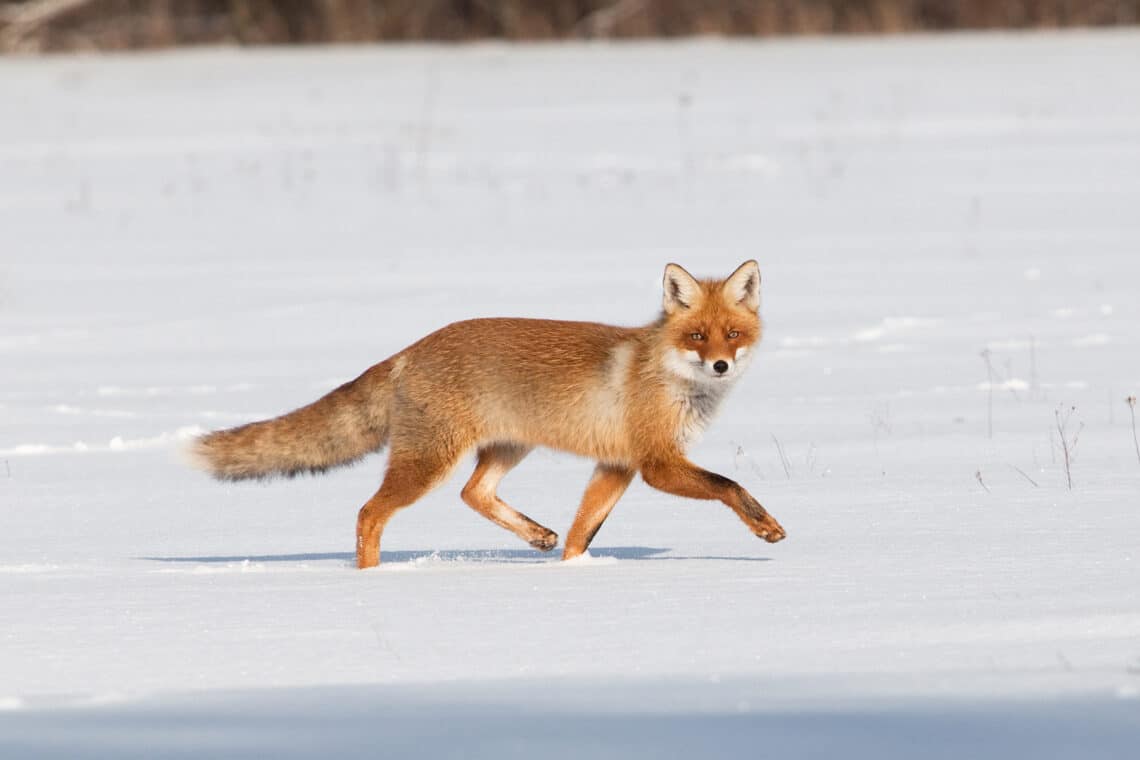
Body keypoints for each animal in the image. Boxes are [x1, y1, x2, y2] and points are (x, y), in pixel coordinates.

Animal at [193, 262, 784, 565]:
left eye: (733, 334)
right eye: (697, 337)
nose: (721, 366)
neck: (669, 376)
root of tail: (409, 349)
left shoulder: (617, 465)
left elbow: (582, 533)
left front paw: (575, 572)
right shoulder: (656, 463)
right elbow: (730, 485)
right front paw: (765, 527)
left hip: (506, 447)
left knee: (472, 494)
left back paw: (536, 536)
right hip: (428, 462)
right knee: (369, 513)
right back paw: (370, 579)